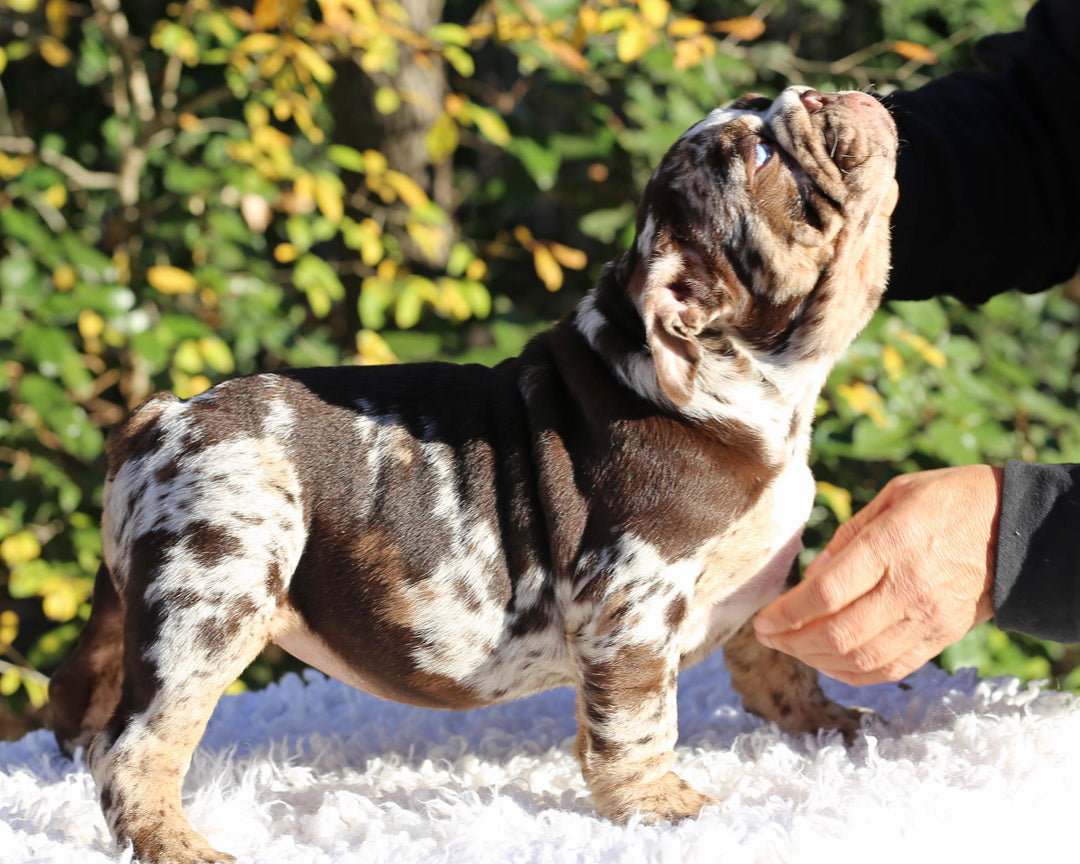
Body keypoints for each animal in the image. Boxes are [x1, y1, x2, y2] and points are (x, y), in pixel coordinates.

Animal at [48, 84, 894, 859]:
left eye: (761, 103)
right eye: (760, 158)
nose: (810, 92)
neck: (740, 381)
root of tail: (163, 417)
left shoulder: (750, 590)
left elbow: (774, 662)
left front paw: (828, 725)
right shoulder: (631, 604)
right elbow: (639, 720)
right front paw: (661, 806)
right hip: (213, 597)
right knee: (136, 745)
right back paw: (173, 843)